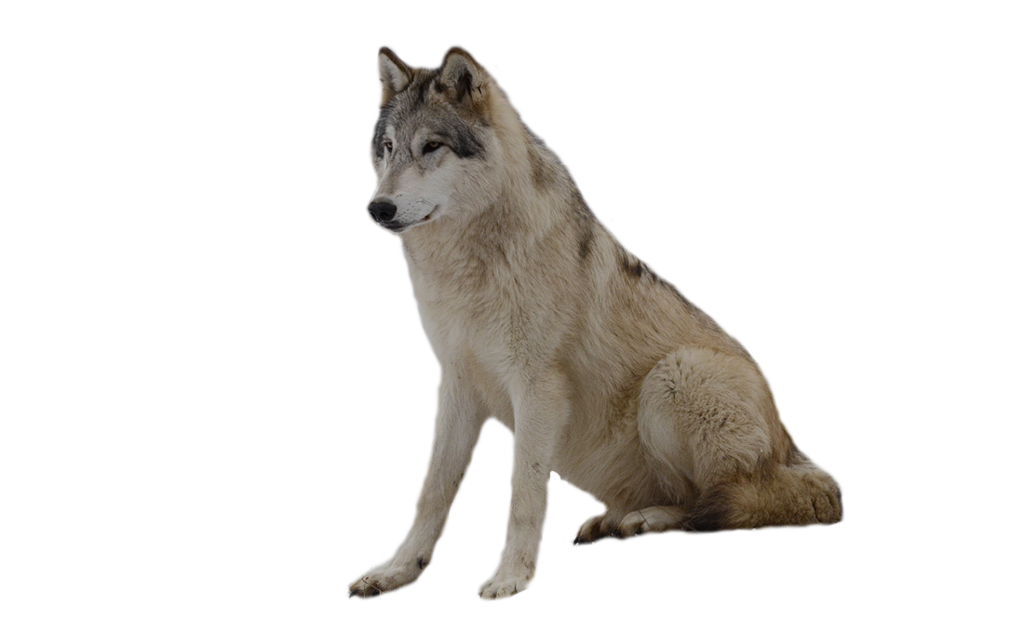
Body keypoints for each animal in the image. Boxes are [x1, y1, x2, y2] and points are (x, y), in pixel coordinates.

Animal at [348, 42, 845, 604]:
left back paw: (645, 521)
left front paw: (510, 577)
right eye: (388, 148)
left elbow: (523, 495)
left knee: (729, 503)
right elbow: (431, 491)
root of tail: (796, 450)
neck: (472, 264)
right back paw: (614, 522)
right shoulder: (455, 385)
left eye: (431, 146)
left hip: (674, 378)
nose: (378, 208)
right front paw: (397, 572)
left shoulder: (537, 389)